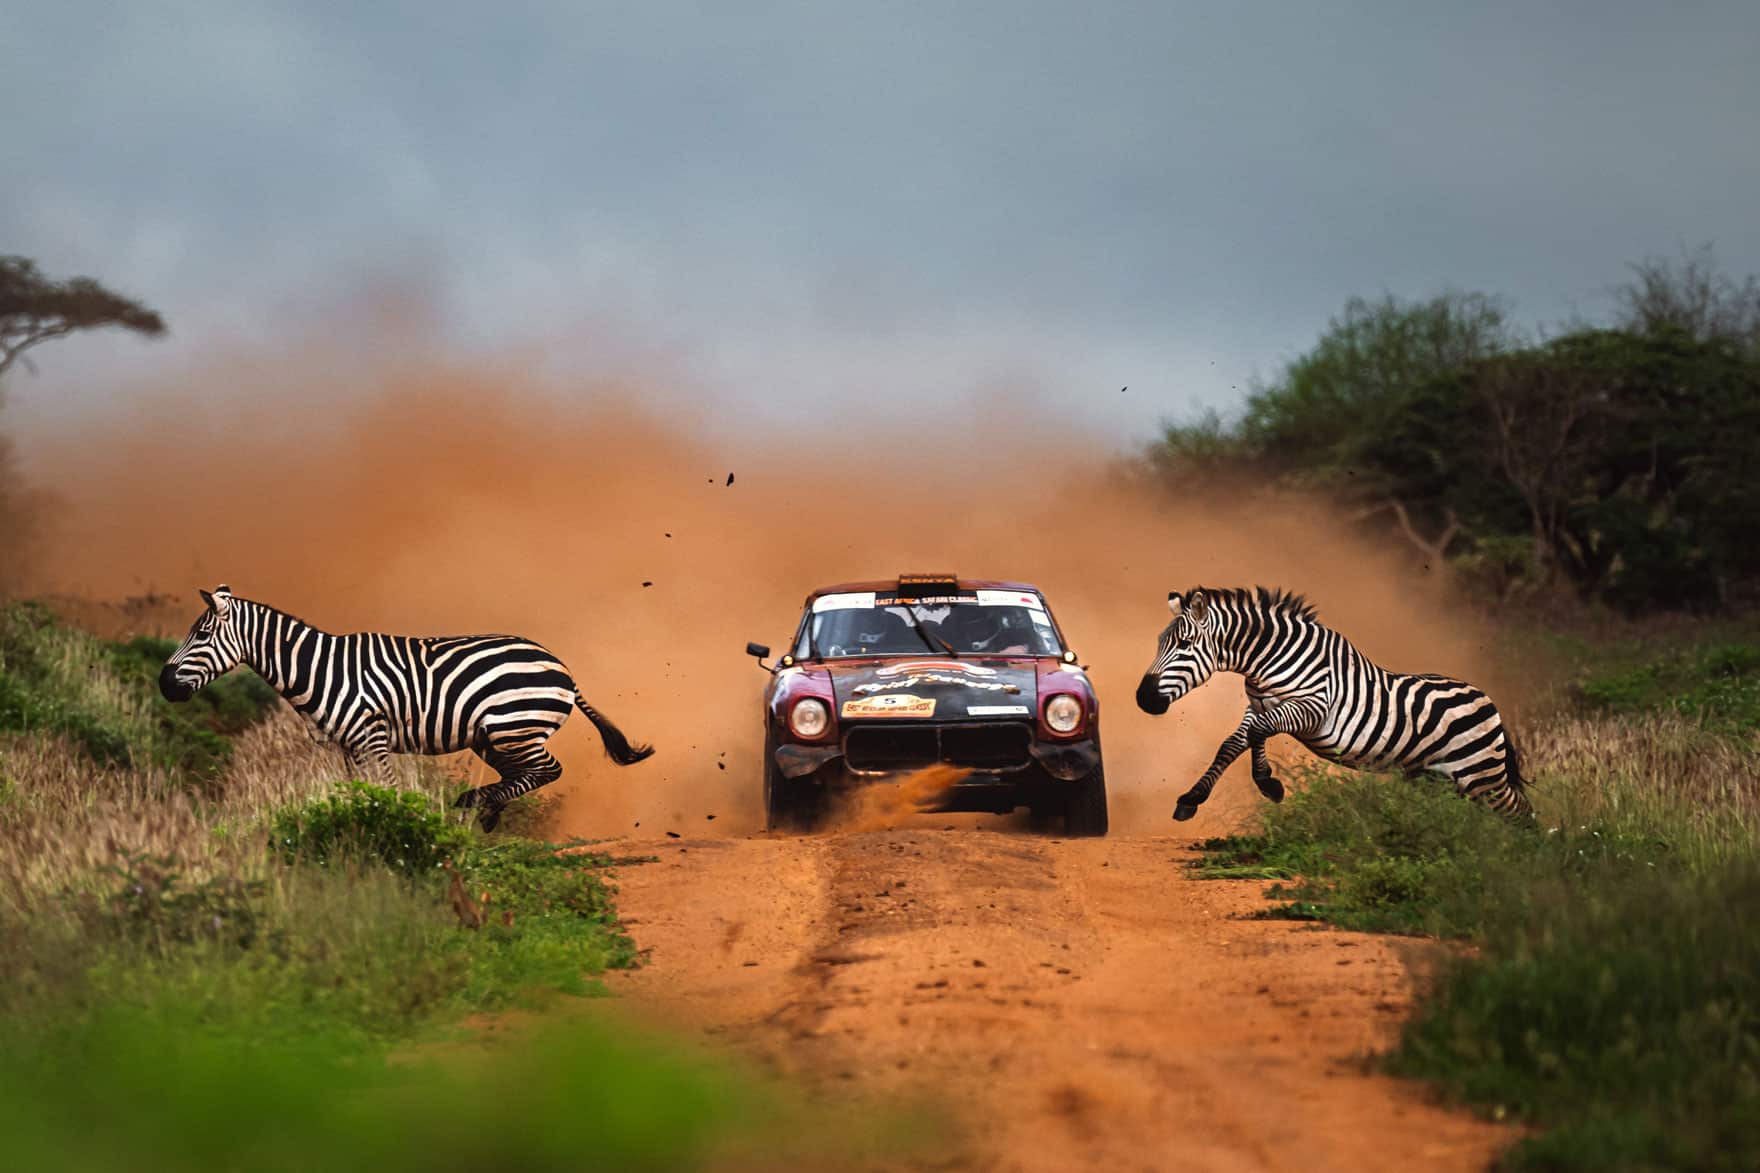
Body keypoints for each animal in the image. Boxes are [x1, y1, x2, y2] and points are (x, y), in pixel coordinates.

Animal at [159, 585, 654, 830]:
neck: (319, 670)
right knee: (523, 775)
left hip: (514, 726)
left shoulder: (373, 736)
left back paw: (476, 803)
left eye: (201, 635)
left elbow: (390, 792)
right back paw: (486, 810)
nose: (163, 684)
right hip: (494, 739)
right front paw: (360, 826)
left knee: (547, 770)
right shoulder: (348, 746)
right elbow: (360, 794)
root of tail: (561, 667)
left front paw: (398, 826)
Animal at [1135, 586, 1531, 821]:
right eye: (1159, 642)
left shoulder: (1313, 708)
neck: (1269, 660)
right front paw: (1192, 797)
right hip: (1439, 778)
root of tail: (1488, 701)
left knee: (1519, 809)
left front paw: (1268, 785)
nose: (1143, 698)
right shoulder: (1258, 705)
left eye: (1184, 645)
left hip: (1480, 774)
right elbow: (1234, 743)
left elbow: (1258, 734)